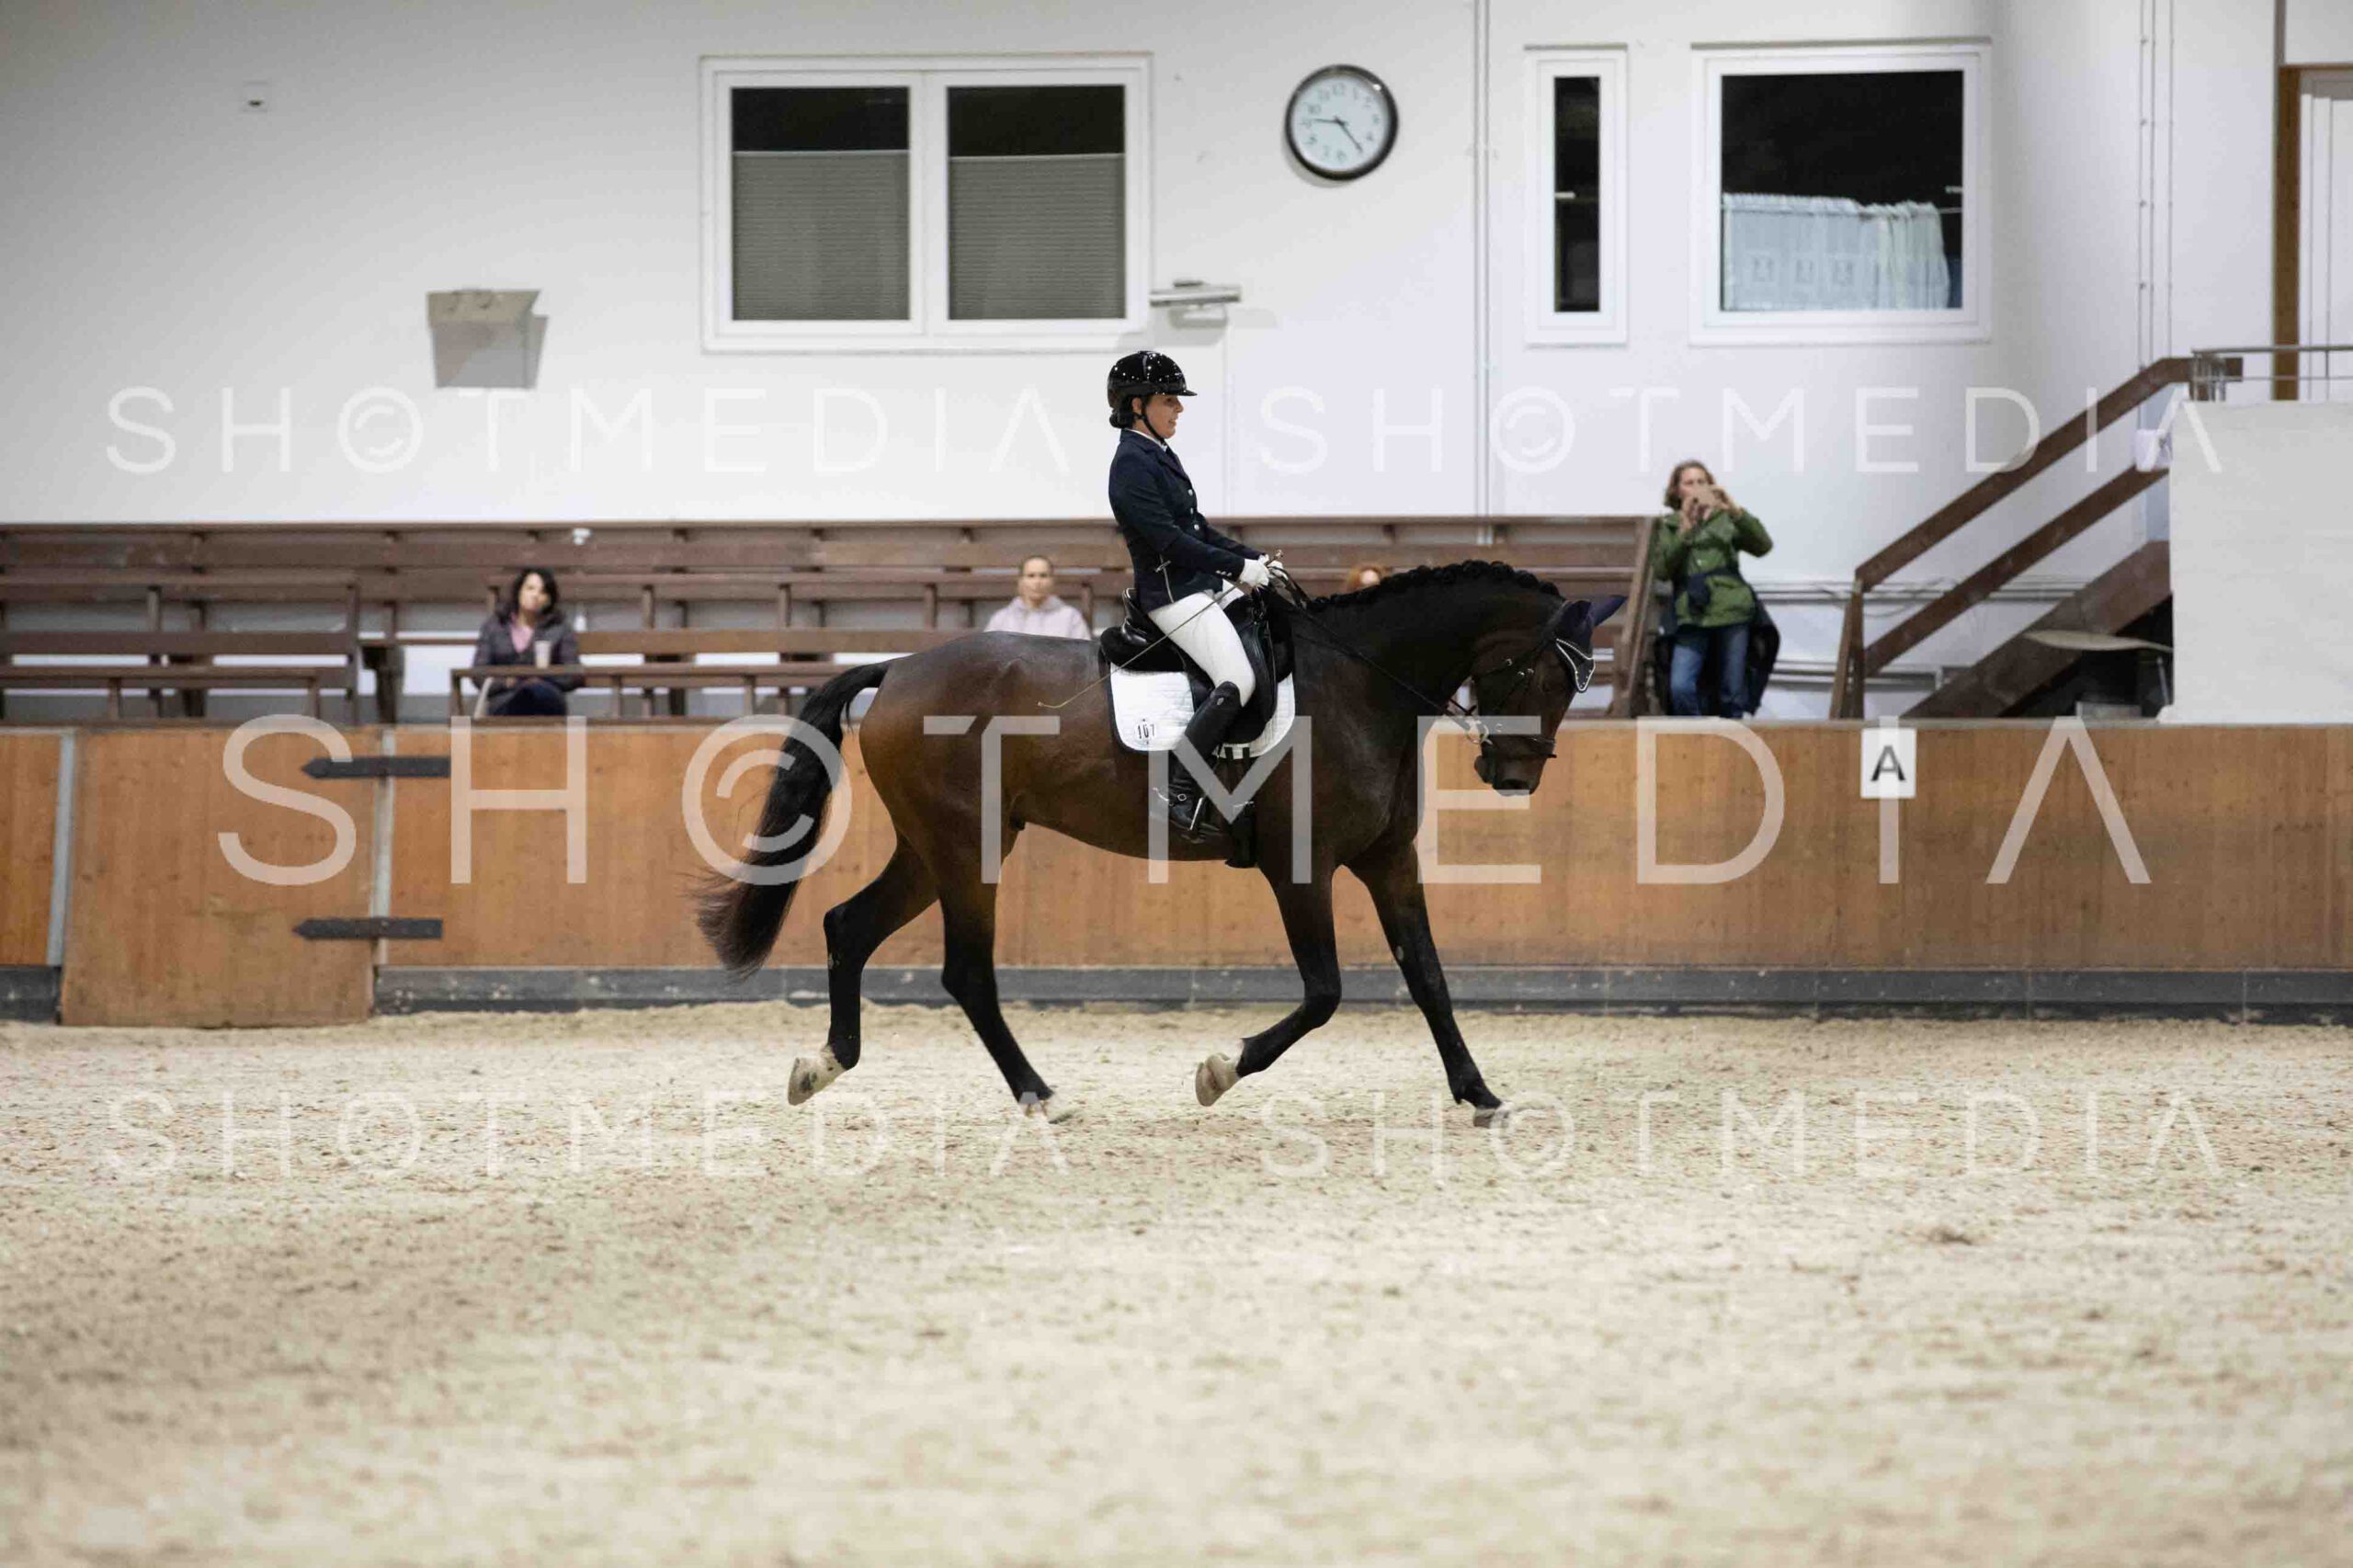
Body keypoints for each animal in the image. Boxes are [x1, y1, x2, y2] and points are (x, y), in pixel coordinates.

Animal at [699, 561, 1620, 1125]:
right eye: (1544, 674)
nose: (1512, 775)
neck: (1360, 686)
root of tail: (897, 668)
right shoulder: (1300, 869)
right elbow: (1324, 993)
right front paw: (1219, 1071)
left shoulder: (1388, 862)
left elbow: (1428, 976)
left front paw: (1479, 1094)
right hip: (967, 850)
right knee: (965, 972)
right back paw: (1042, 1096)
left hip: (935, 849)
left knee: (848, 927)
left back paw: (823, 1065)